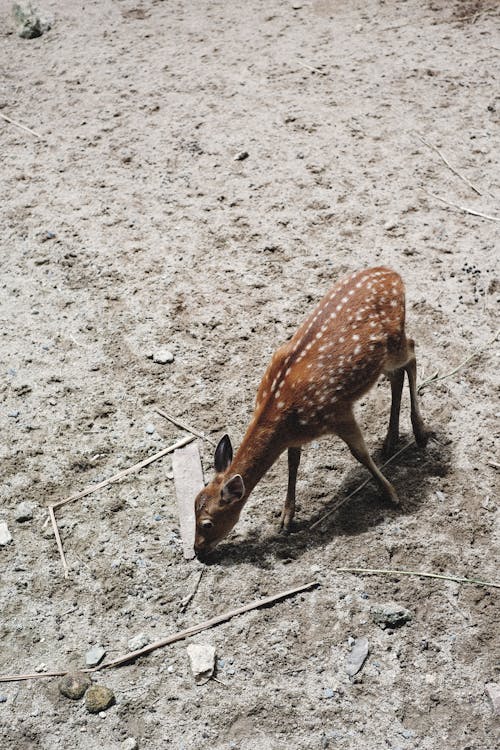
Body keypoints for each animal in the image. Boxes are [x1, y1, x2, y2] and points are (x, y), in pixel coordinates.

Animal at [193, 268, 432, 560]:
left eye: (207, 522)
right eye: (193, 505)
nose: (197, 551)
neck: (285, 416)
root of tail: (392, 273)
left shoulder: (337, 410)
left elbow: (360, 453)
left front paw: (391, 494)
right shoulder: (298, 434)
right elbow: (293, 463)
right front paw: (286, 519)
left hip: (395, 342)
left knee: (412, 352)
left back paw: (420, 433)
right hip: (381, 361)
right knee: (398, 374)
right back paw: (391, 441)